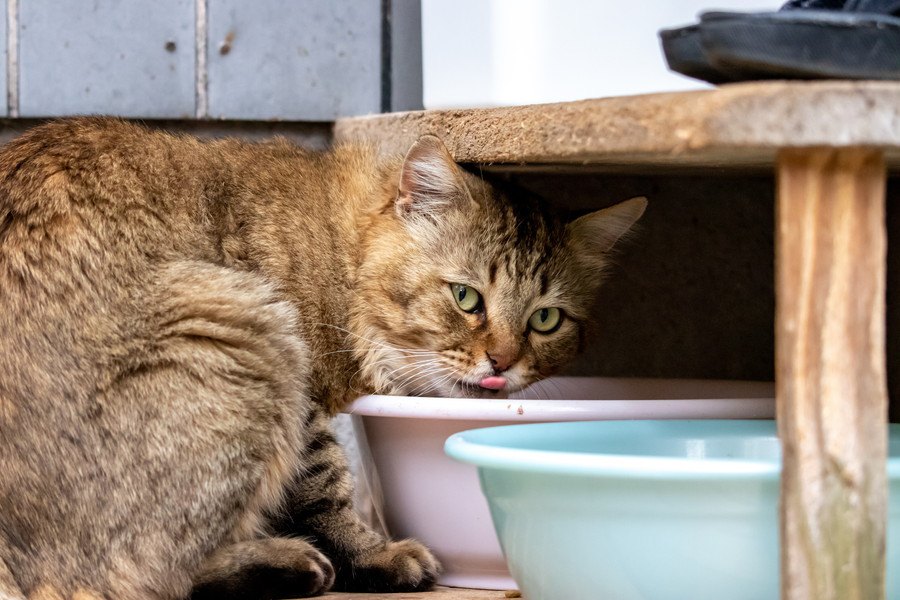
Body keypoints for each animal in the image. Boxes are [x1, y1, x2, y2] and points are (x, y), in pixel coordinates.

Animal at [0, 118, 648, 600]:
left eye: (546, 319)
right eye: (466, 298)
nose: (503, 363)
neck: (341, 248)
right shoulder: (303, 392)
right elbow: (324, 487)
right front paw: (376, 555)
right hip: (244, 332)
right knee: (141, 576)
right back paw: (288, 564)